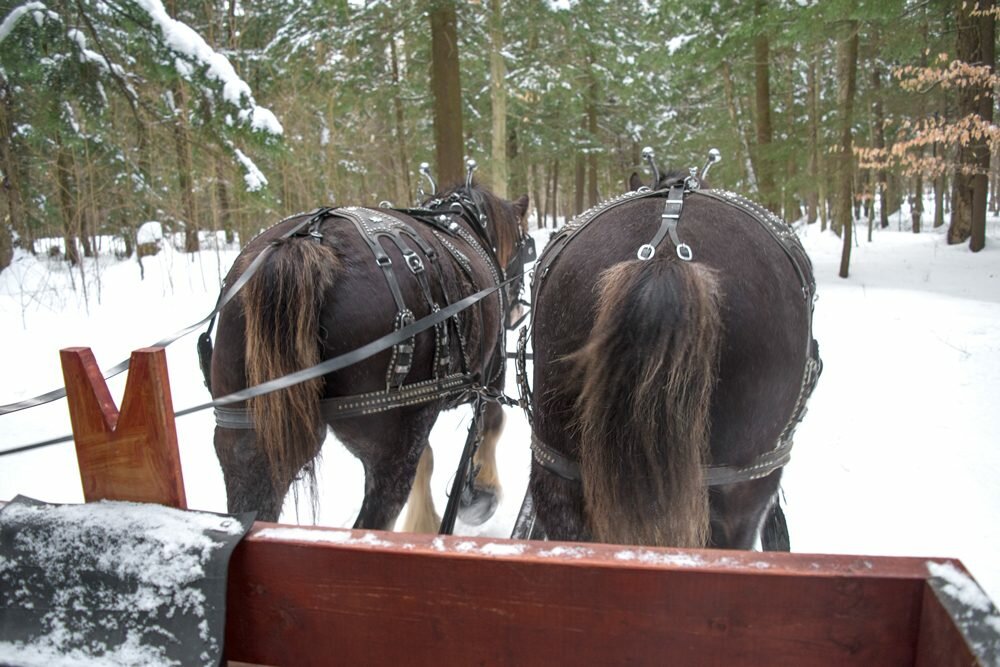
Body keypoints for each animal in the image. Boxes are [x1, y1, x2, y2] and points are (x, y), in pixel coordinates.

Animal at [210, 184, 532, 532]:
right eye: (524, 245)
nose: (517, 310)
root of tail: (310, 241)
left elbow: (428, 458)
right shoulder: (490, 373)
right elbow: (493, 422)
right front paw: (482, 495)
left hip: (247, 437)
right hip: (389, 442)